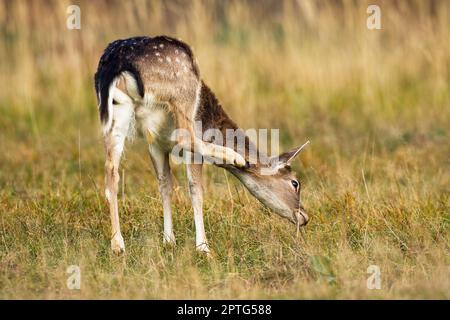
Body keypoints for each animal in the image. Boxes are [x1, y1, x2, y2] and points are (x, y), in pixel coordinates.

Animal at [93, 35, 308, 255]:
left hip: (113, 113)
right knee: (187, 137)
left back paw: (117, 245)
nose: (304, 216)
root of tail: (117, 62)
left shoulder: (155, 143)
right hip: (183, 91)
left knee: (111, 171)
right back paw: (236, 157)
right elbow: (196, 190)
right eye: (295, 183)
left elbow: (165, 185)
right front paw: (203, 247)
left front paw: (168, 240)